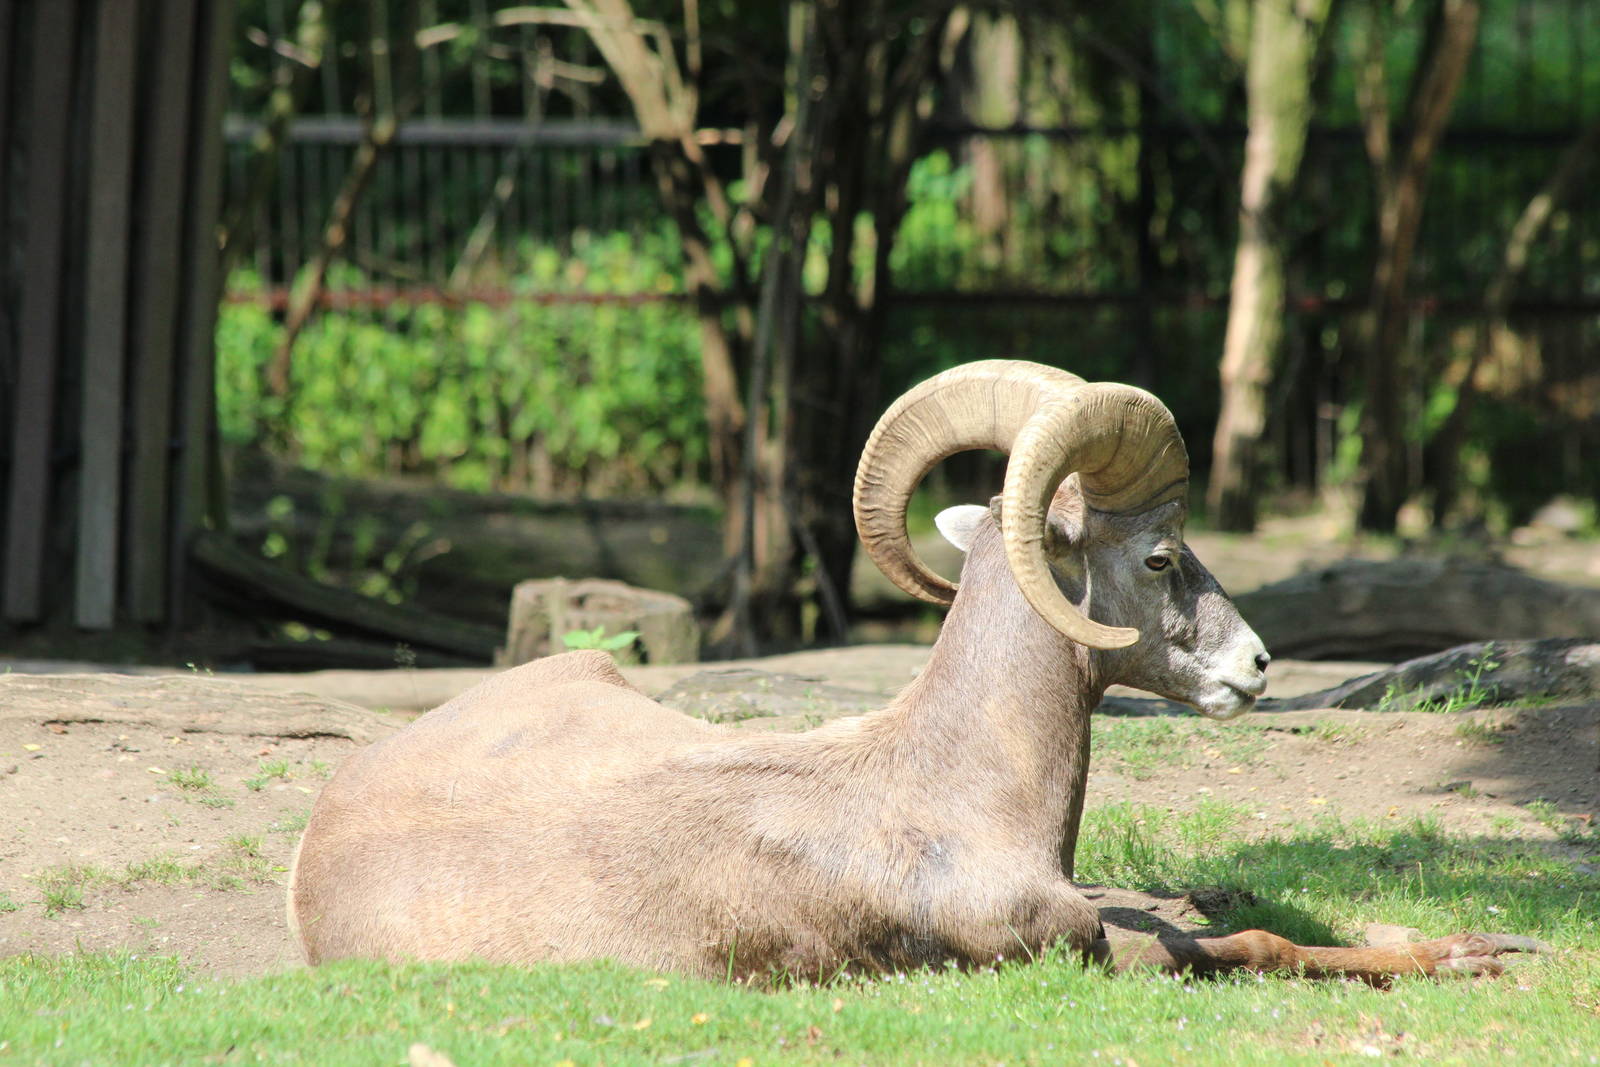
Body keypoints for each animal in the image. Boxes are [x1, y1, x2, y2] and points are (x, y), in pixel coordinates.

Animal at [288, 359, 1542, 982]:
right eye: (1160, 554)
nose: (1257, 664)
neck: (949, 785)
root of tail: (316, 850)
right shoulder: (1068, 950)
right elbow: (1254, 944)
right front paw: (1478, 956)